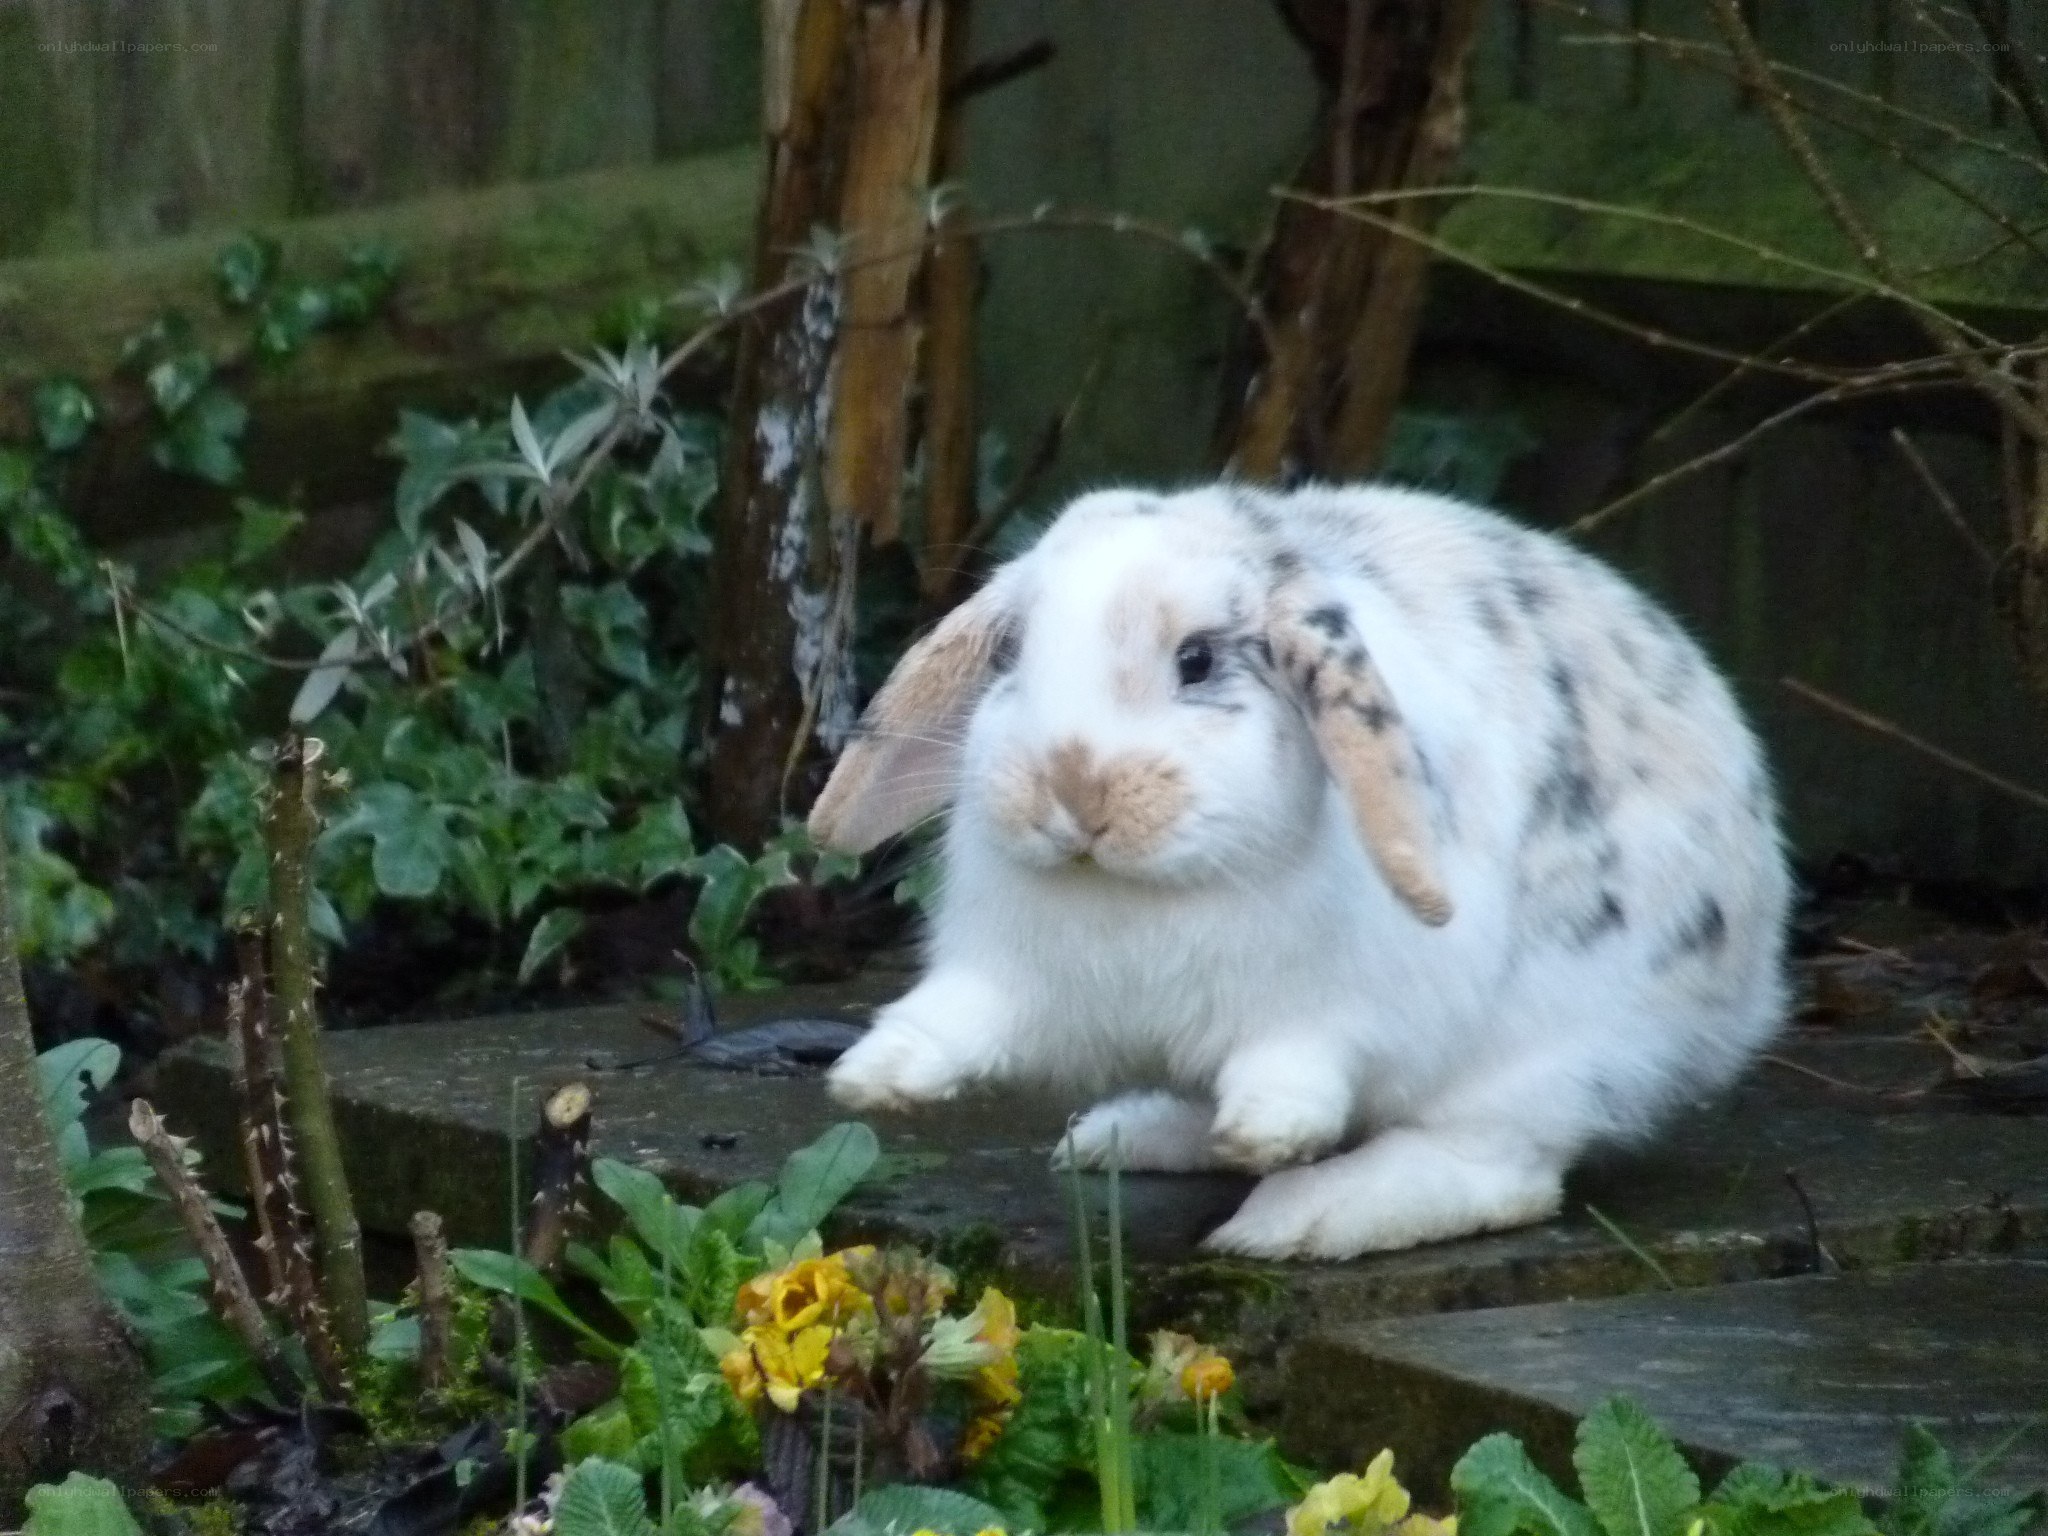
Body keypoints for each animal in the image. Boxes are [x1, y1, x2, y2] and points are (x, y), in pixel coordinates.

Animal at [805, 482, 1790, 1260]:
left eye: (1197, 660)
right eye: (1011, 657)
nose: (1073, 787)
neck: (1151, 886)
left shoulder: (1337, 1015)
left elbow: (1299, 1066)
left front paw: (1268, 1132)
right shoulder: (1009, 982)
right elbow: (956, 1019)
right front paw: (874, 1077)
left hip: (1549, 1057)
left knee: (1502, 1171)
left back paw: (1299, 1217)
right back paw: (1126, 1136)